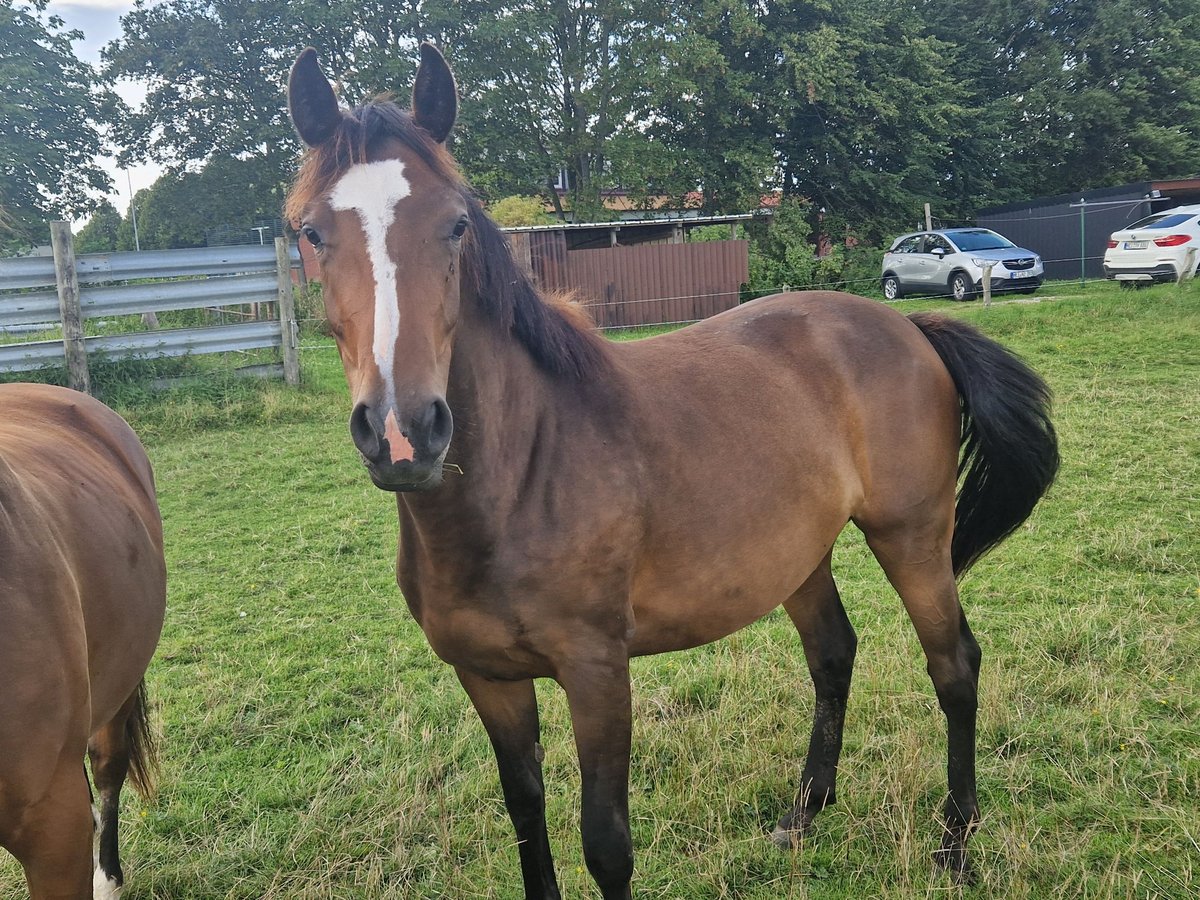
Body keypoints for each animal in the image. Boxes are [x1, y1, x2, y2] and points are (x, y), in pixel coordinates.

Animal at [285, 45, 1056, 897]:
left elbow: (606, 845)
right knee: (832, 656)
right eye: (311, 232)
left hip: (912, 537)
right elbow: (525, 817)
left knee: (954, 667)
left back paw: (956, 842)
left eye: (455, 224)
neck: (517, 484)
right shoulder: (488, 679)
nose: (402, 431)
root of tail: (908, 325)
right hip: (799, 556)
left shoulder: (597, 672)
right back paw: (802, 815)